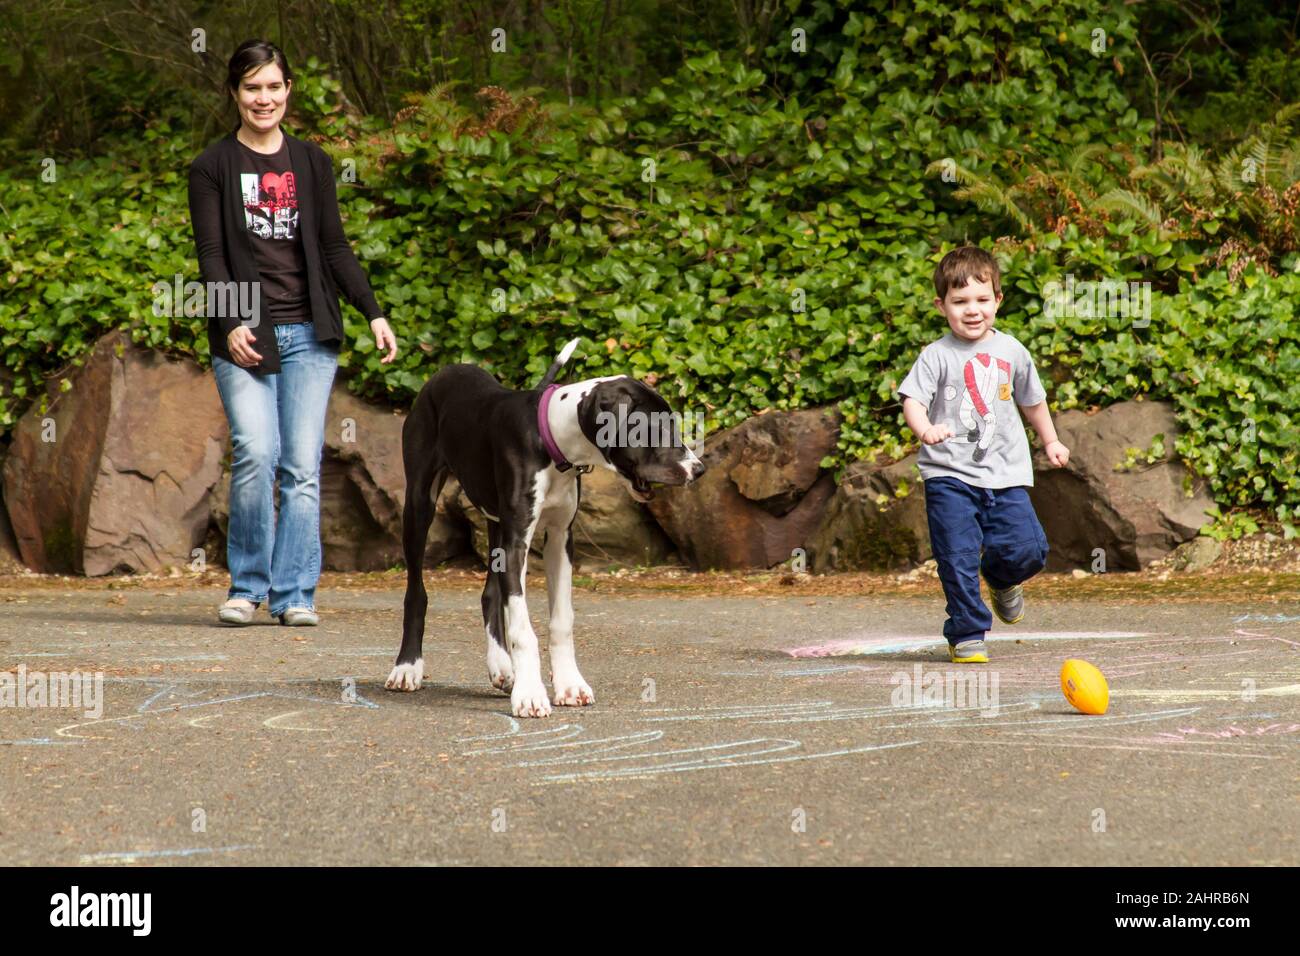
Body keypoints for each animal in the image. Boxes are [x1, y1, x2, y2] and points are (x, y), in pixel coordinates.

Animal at [384, 340, 707, 712]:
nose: (699, 469)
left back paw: (501, 665)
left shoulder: (560, 540)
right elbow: (522, 626)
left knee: (491, 594)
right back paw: (407, 668)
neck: (552, 438)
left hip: (494, 520)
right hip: (419, 504)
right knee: (416, 592)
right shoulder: (517, 543)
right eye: (655, 428)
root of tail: (448, 369)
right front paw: (530, 694)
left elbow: (561, 620)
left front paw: (569, 684)